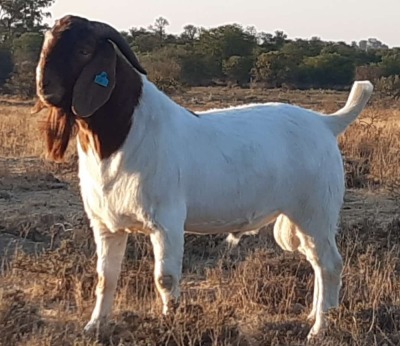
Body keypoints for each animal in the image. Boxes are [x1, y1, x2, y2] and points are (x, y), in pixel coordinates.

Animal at [34, 14, 376, 340]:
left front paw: (169, 324)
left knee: (329, 264)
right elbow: (106, 277)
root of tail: (327, 123)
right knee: (316, 262)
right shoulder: (105, 224)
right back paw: (316, 315)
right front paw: (94, 326)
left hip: (315, 212)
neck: (124, 135)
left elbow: (165, 278)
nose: (44, 88)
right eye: (47, 43)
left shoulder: (166, 222)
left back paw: (319, 328)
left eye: (84, 50)